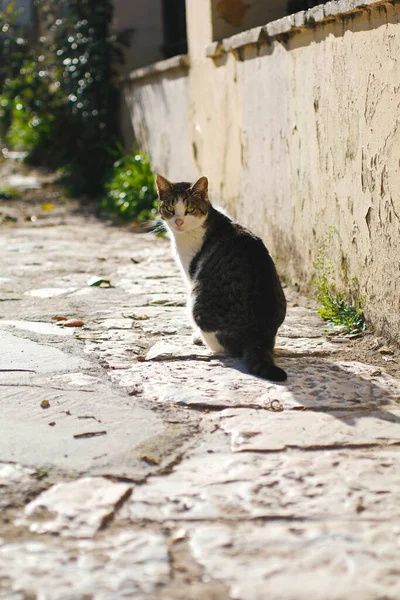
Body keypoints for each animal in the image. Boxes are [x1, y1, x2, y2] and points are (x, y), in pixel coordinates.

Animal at [156, 173, 288, 382]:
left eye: (189, 209)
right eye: (170, 208)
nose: (178, 222)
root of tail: (257, 336)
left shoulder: (191, 273)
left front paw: (195, 336)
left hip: (197, 297)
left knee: (225, 348)